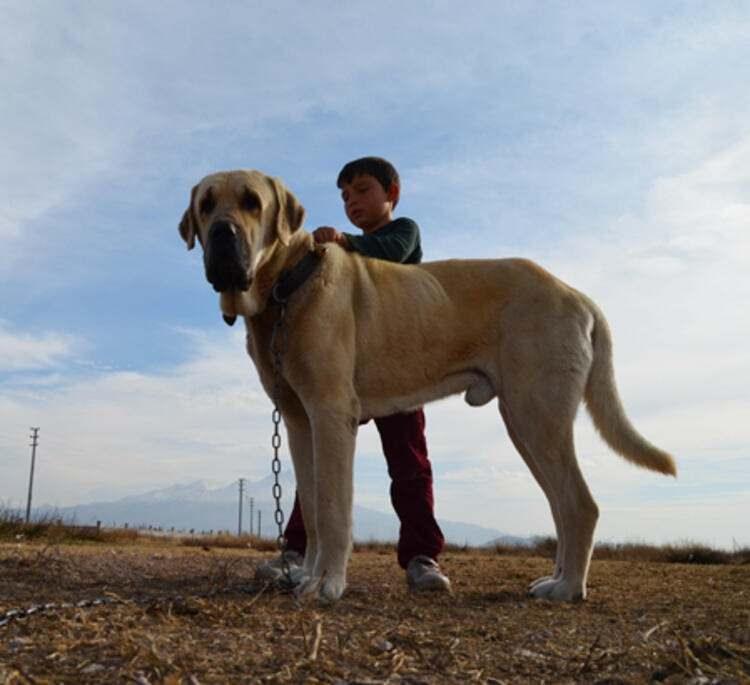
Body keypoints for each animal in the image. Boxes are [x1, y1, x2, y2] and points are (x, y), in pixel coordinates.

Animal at [179, 168, 680, 600]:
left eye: (252, 202)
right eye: (206, 205)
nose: (222, 233)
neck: (286, 284)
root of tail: (577, 294)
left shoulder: (331, 414)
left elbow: (334, 508)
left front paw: (326, 584)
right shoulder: (301, 421)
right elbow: (315, 509)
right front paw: (305, 575)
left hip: (536, 414)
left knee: (579, 504)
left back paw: (569, 588)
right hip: (525, 423)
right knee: (561, 504)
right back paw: (555, 579)